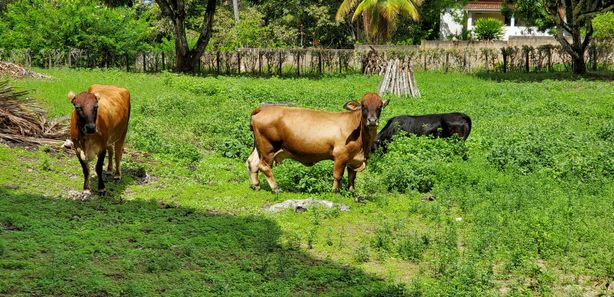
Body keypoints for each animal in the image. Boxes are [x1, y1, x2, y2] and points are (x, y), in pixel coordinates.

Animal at [247, 93, 388, 193]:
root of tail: (262, 109)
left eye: (379, 106)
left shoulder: (353, 159)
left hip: (259, 146)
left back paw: (256, 185)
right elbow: (338, 175)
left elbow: (352, 176)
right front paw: (335, 191)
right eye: (363, 106)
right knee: (264, 166)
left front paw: (352, 192)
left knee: (252, 162)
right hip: (268, 147)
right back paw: (276, 188)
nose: (372, 120)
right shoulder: (340, 156)